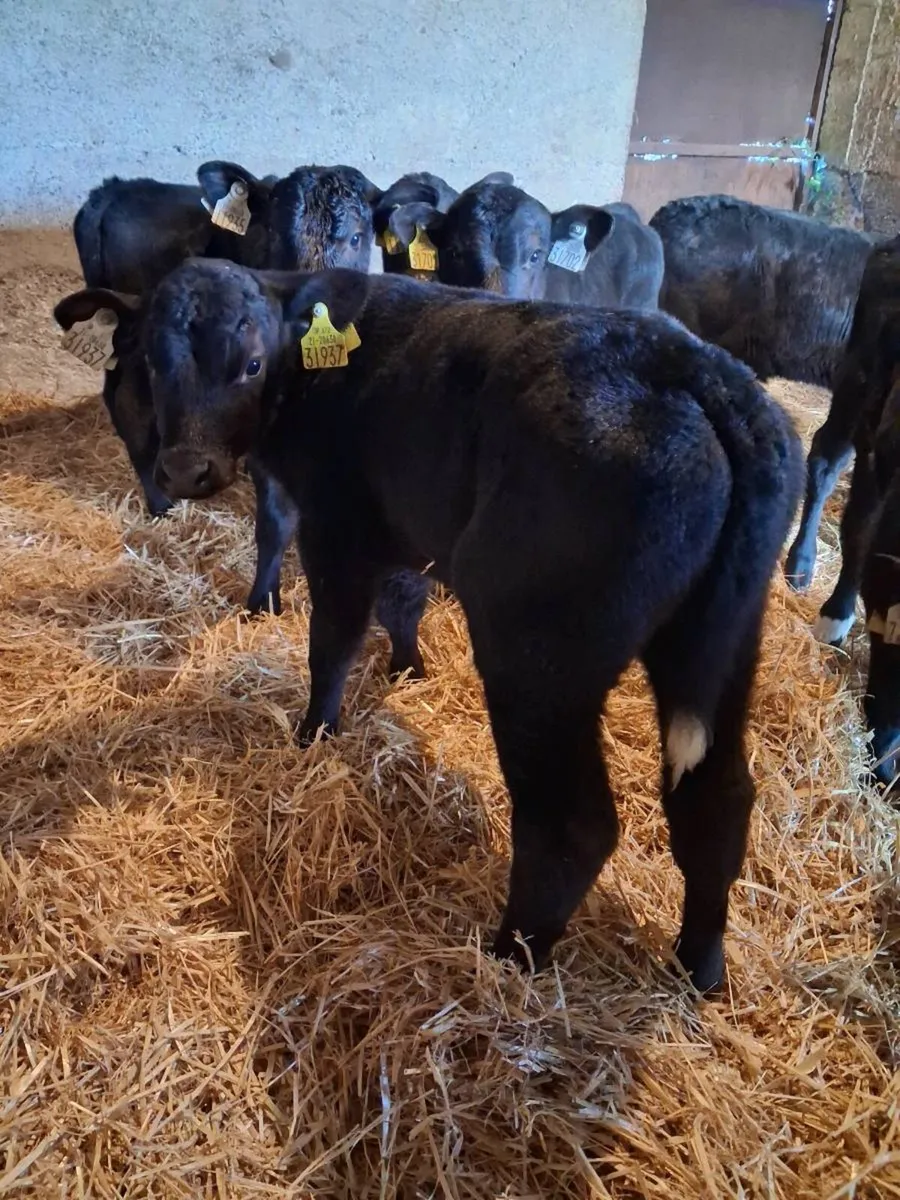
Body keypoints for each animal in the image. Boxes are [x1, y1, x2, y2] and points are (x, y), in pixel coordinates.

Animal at [58, 160, 384, 611]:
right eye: (272, 235)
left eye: (356, 236)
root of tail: (112, 190)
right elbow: (276, 519)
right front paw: (265, 599)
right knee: (125, 404)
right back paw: (161, 504)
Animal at [139, 257, 802, 992]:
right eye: (151, 359)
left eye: (252, 363)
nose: (183, 470)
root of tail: (695, 369)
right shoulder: (405, 531)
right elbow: (402, 601)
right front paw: (406, 669)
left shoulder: (338, 526)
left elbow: (332, 642)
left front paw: (314, 733)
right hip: (720, 642)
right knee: (717, 800)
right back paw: (699, 968)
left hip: (537, 654)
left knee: (572, 825)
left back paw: (511, 956)